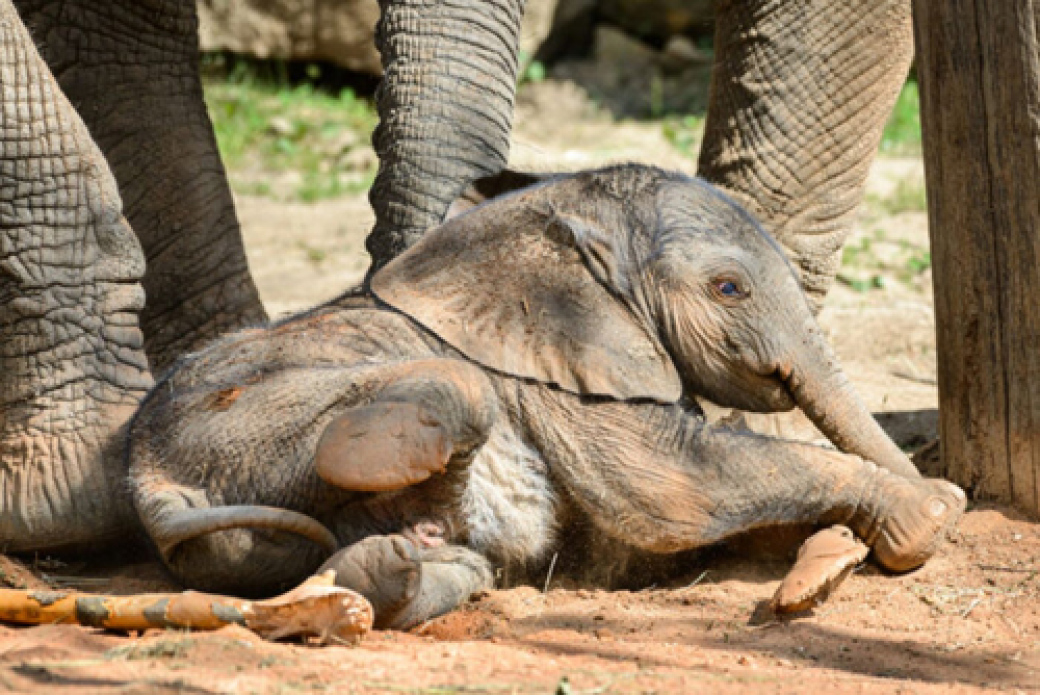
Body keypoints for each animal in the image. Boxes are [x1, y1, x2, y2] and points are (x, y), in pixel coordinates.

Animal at [132, 164, 965, 628]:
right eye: (729, 288)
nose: (956, 492)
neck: (558, 211)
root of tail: (148, 484)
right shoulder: (564, 367)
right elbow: (666, 488)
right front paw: (923, 518)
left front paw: (835, 560)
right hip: (241, 418)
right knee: (460, 391)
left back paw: (392, 569)